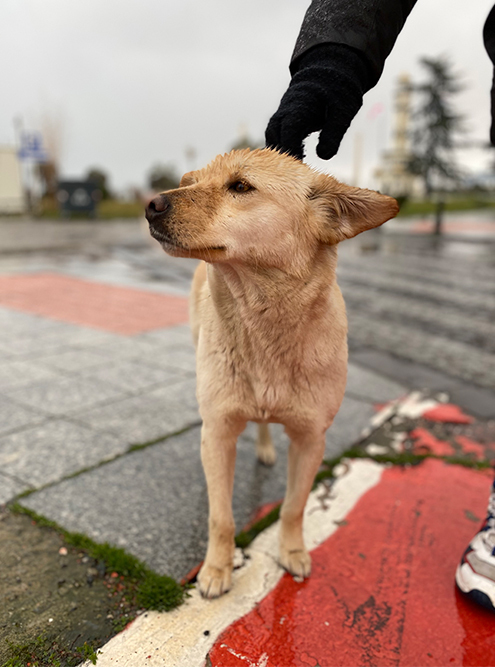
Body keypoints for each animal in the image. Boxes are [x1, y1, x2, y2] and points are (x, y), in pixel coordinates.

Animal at [144, 150, 400, 600]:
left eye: (241, 186)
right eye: (192, 181)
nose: (152, 204)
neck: (263, 328)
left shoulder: (311, 439)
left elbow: (294, 507)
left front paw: (292, 552)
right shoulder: (220, 430)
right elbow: (221, 517)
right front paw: (216, 569)